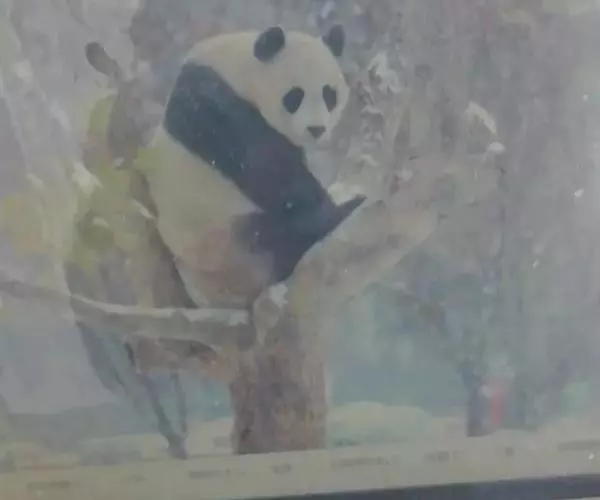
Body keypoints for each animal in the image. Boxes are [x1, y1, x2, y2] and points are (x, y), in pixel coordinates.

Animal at [139, 25, 365, 308]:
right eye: (295, 96)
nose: (316, 129)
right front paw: (338, 207)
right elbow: (270, 172)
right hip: (225, 245)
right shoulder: (215, 106)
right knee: (277, 236)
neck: (239, 69)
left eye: (329, 95)